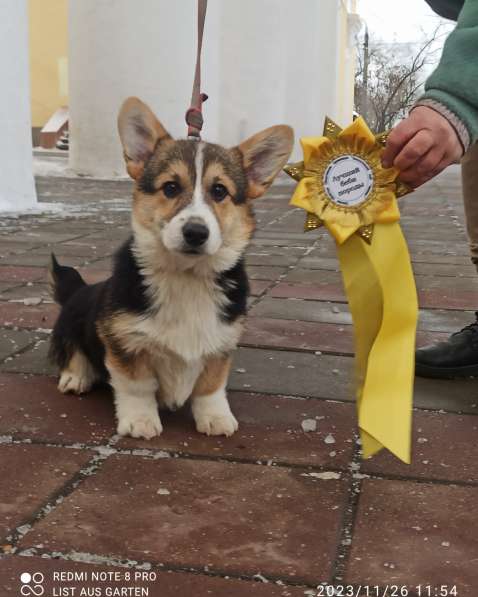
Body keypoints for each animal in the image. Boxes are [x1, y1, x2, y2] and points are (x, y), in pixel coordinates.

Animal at [49, 98, 296, 440]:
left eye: (219, 191)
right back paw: (76, 377)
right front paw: (140, 421)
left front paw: (216, 418)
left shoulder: (220, 342)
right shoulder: (126, 341)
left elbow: (211, 387)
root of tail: (81, 289)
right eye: (170, 187)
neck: (186, 275)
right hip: (70, 323)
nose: (195, 232)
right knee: (71, 353)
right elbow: (137, 386)